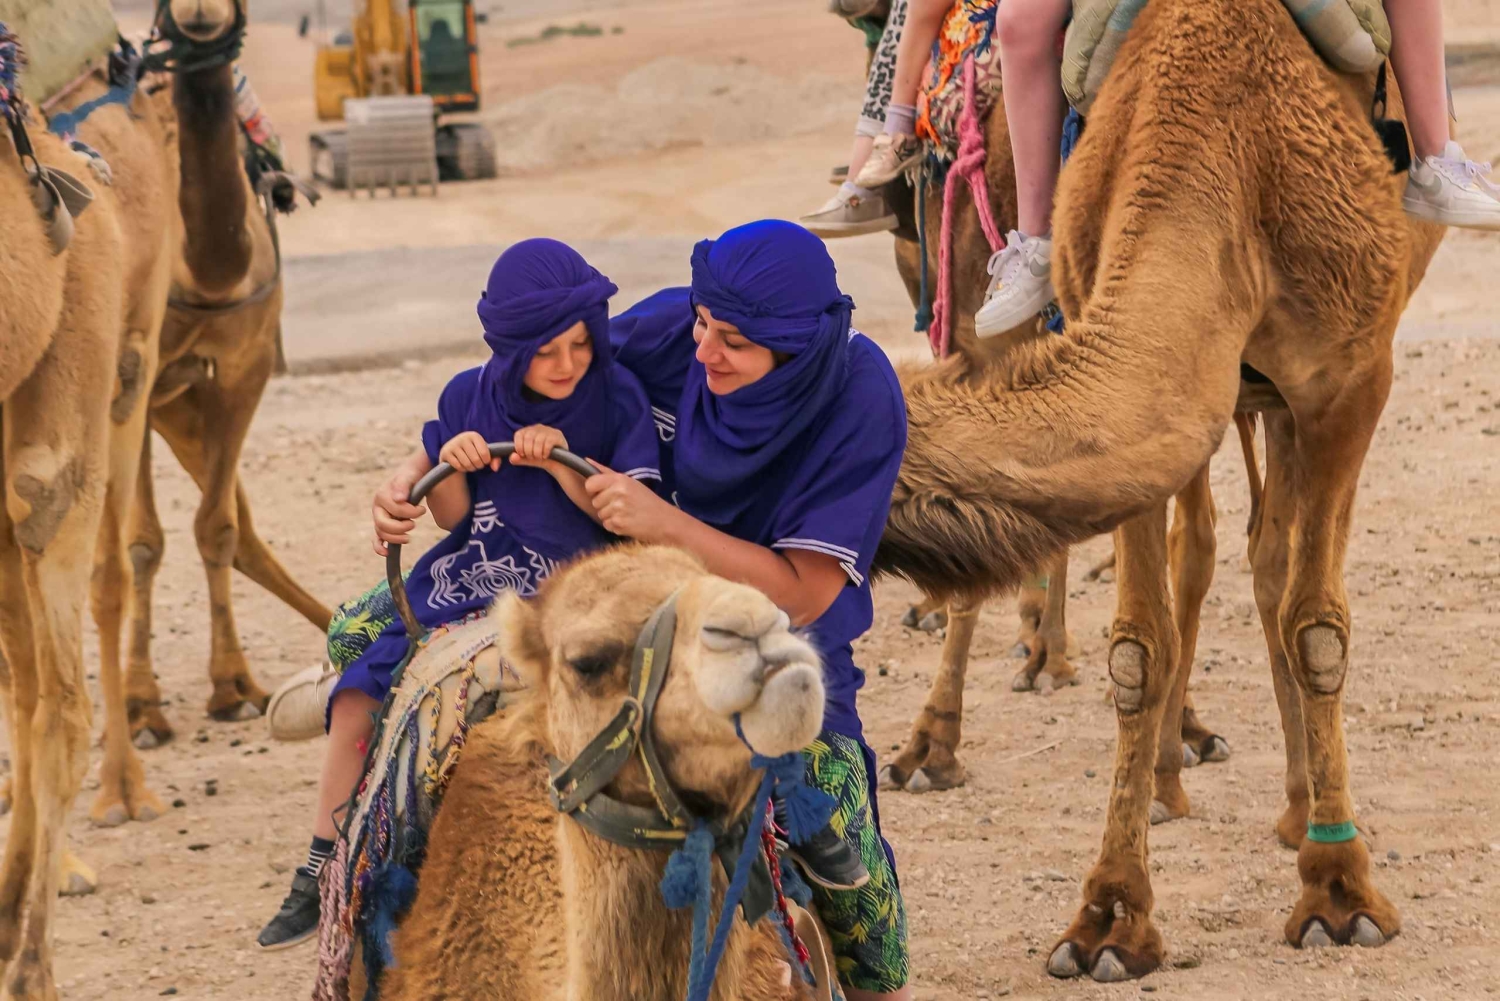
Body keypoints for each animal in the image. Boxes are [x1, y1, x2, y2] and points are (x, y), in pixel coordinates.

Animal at [122, 0, 332, 746]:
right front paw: (143, 707)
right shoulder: (136, 380)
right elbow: (141, 543)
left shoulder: (245, 368)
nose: (200, 12)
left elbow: (217, 528)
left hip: (182, 407)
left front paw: (230, 687)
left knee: (243, 531)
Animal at [872, 0, 1443, 979]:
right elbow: (1139, 647)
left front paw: (1340, 892)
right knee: (1245, 551)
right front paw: (1110, 916)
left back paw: (1302, 814)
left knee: (1273, 565)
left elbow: (1320, 627)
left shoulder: (1350, 378)